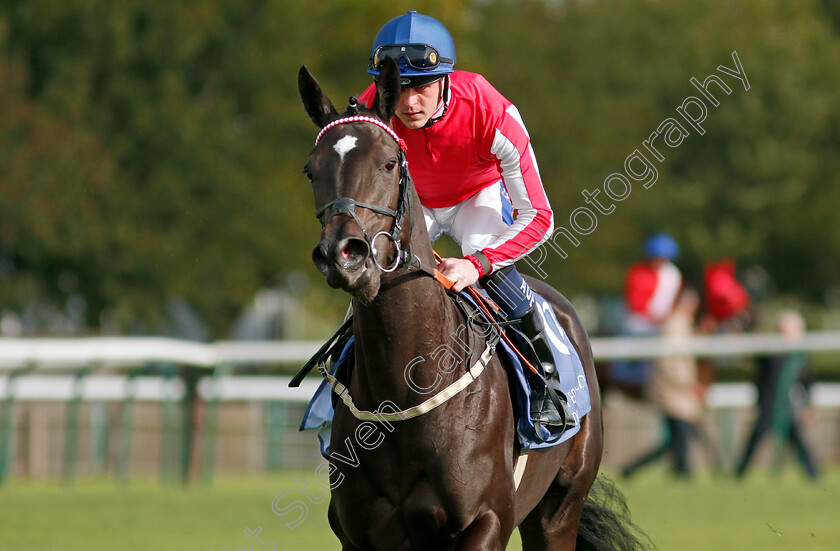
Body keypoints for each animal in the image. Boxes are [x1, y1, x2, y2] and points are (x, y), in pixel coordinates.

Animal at [298, 57, 648, 551]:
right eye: (312, 170)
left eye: (389, 163)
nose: (342, 255)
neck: (405, 386)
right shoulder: (358, 534)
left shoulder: (484, 522)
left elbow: (536, 213)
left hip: (558, 510)